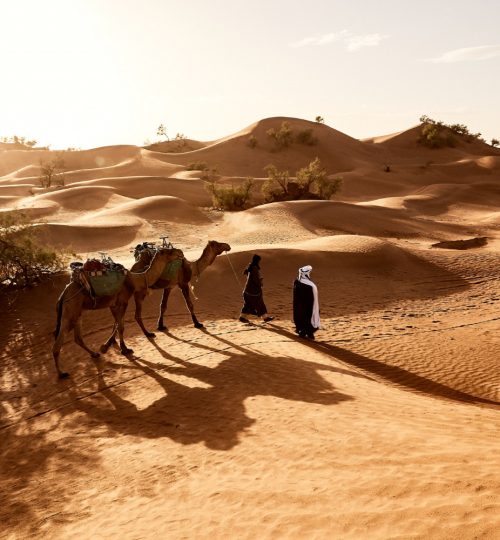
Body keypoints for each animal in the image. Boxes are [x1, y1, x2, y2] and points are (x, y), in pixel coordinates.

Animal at [52, 247, 184, 378]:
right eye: (168, 251)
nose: (180, 253)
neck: (135, 279)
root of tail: (63, 294)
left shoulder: (114, 304)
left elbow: (116, 323)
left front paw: (107, 346)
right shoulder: (123, 301)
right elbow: (121, 326)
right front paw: (125, 349)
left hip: (78, 312)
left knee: (78, 338)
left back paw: (94, 354)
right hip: (70, 310)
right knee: (59, 341)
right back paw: (61, 373)